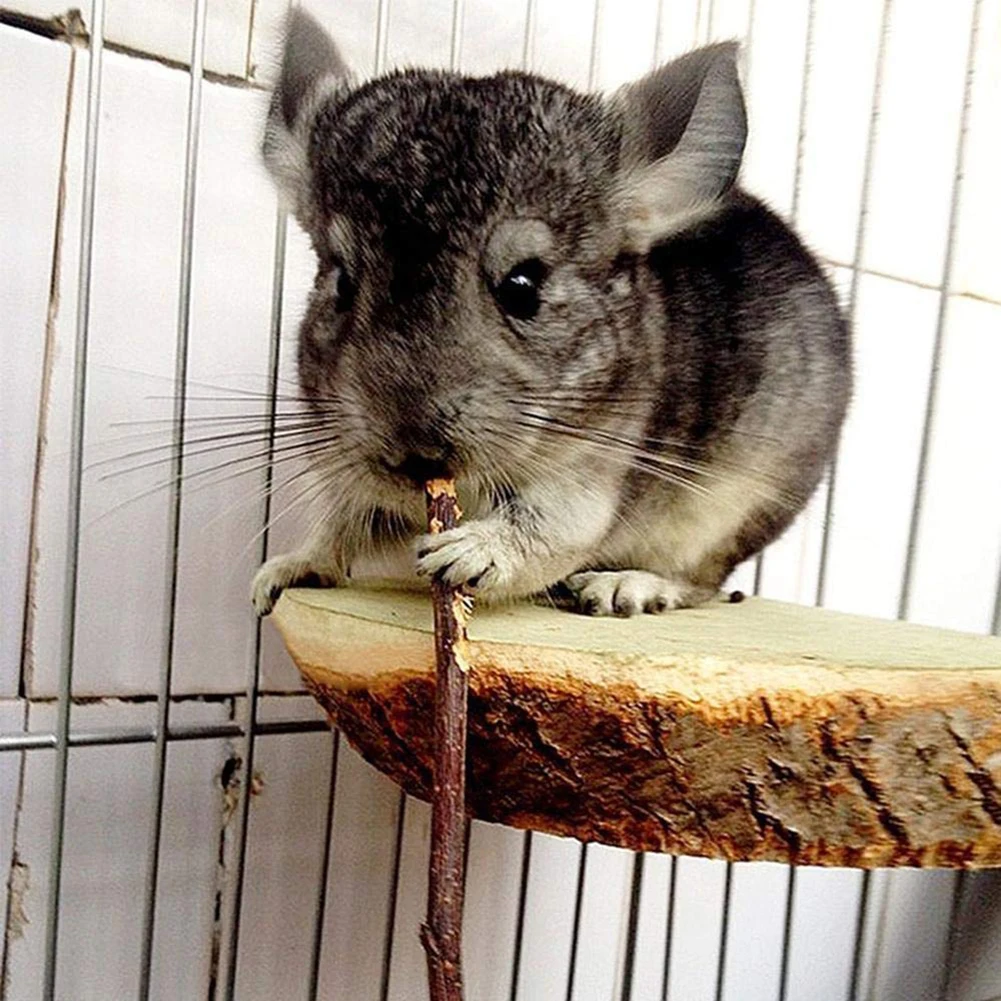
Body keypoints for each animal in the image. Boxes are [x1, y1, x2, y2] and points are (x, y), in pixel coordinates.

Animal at [251, 8, 850, 618]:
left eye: (523, 286)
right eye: (342, 282)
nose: (415, 453)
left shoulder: (591, 479)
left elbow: (547, 530)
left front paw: (465, 554)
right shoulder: (350, 474)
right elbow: (340, 523)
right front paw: (281, 574)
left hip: (732, 511)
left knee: (701, 580)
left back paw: (624, 586)